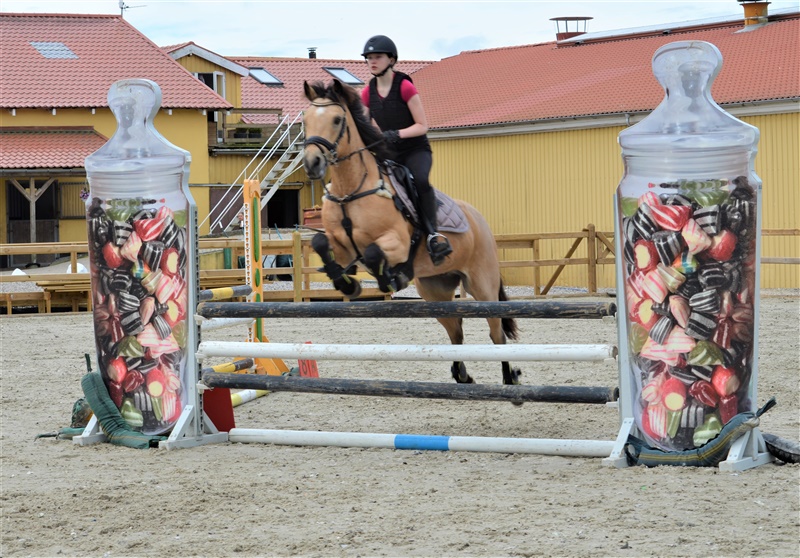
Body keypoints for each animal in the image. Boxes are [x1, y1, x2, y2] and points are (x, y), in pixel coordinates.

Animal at [301, 79, 521, 387]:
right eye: (305, 120)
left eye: (336, 120)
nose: (312, 163)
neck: (352, 189)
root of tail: (480, 220)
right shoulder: (342, 247)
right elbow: (322, 242)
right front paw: (346, 283)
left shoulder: (397, 243)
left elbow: (373, 253)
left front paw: (389, 279)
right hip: (434, 290)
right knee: (456, 331)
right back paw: (462, 375)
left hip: (483, 285)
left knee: (497, 333)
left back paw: (509, 378)